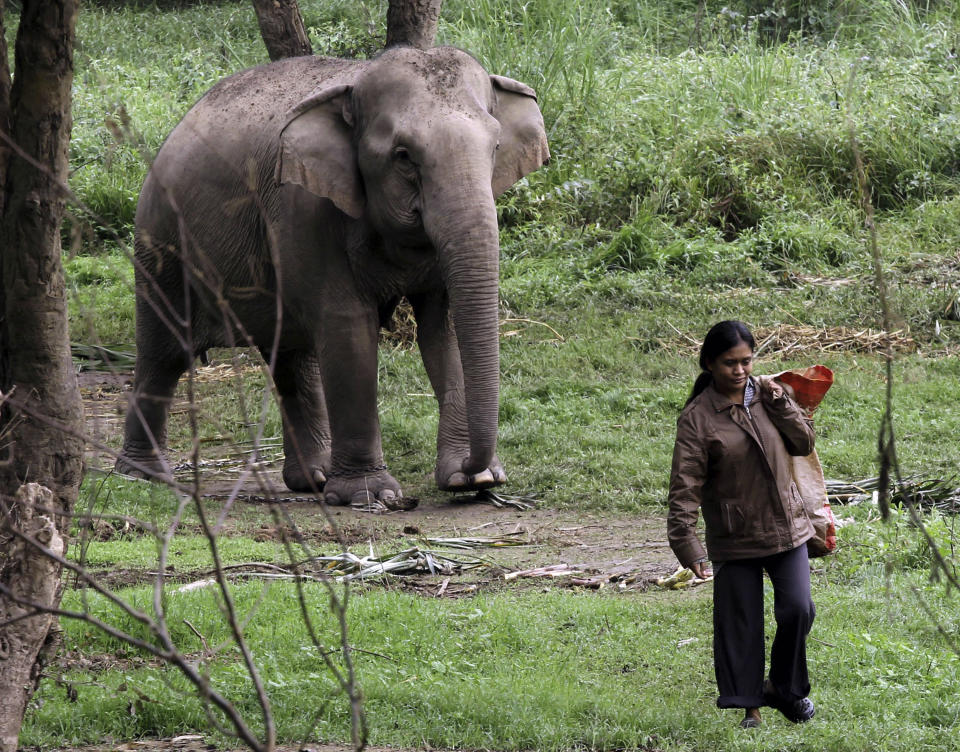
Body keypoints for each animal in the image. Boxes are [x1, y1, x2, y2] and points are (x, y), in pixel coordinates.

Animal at [114, 45, 548, 506]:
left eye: (496, 146)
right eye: (403, 156)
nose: (475, 468)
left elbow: (443, 328)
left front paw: (472, 482)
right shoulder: (306, 207)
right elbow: (348, 329)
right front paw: (372, 495)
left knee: (292, 356)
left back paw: (314, 479)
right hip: (159, 243)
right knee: (165, 353)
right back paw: (143, 473)